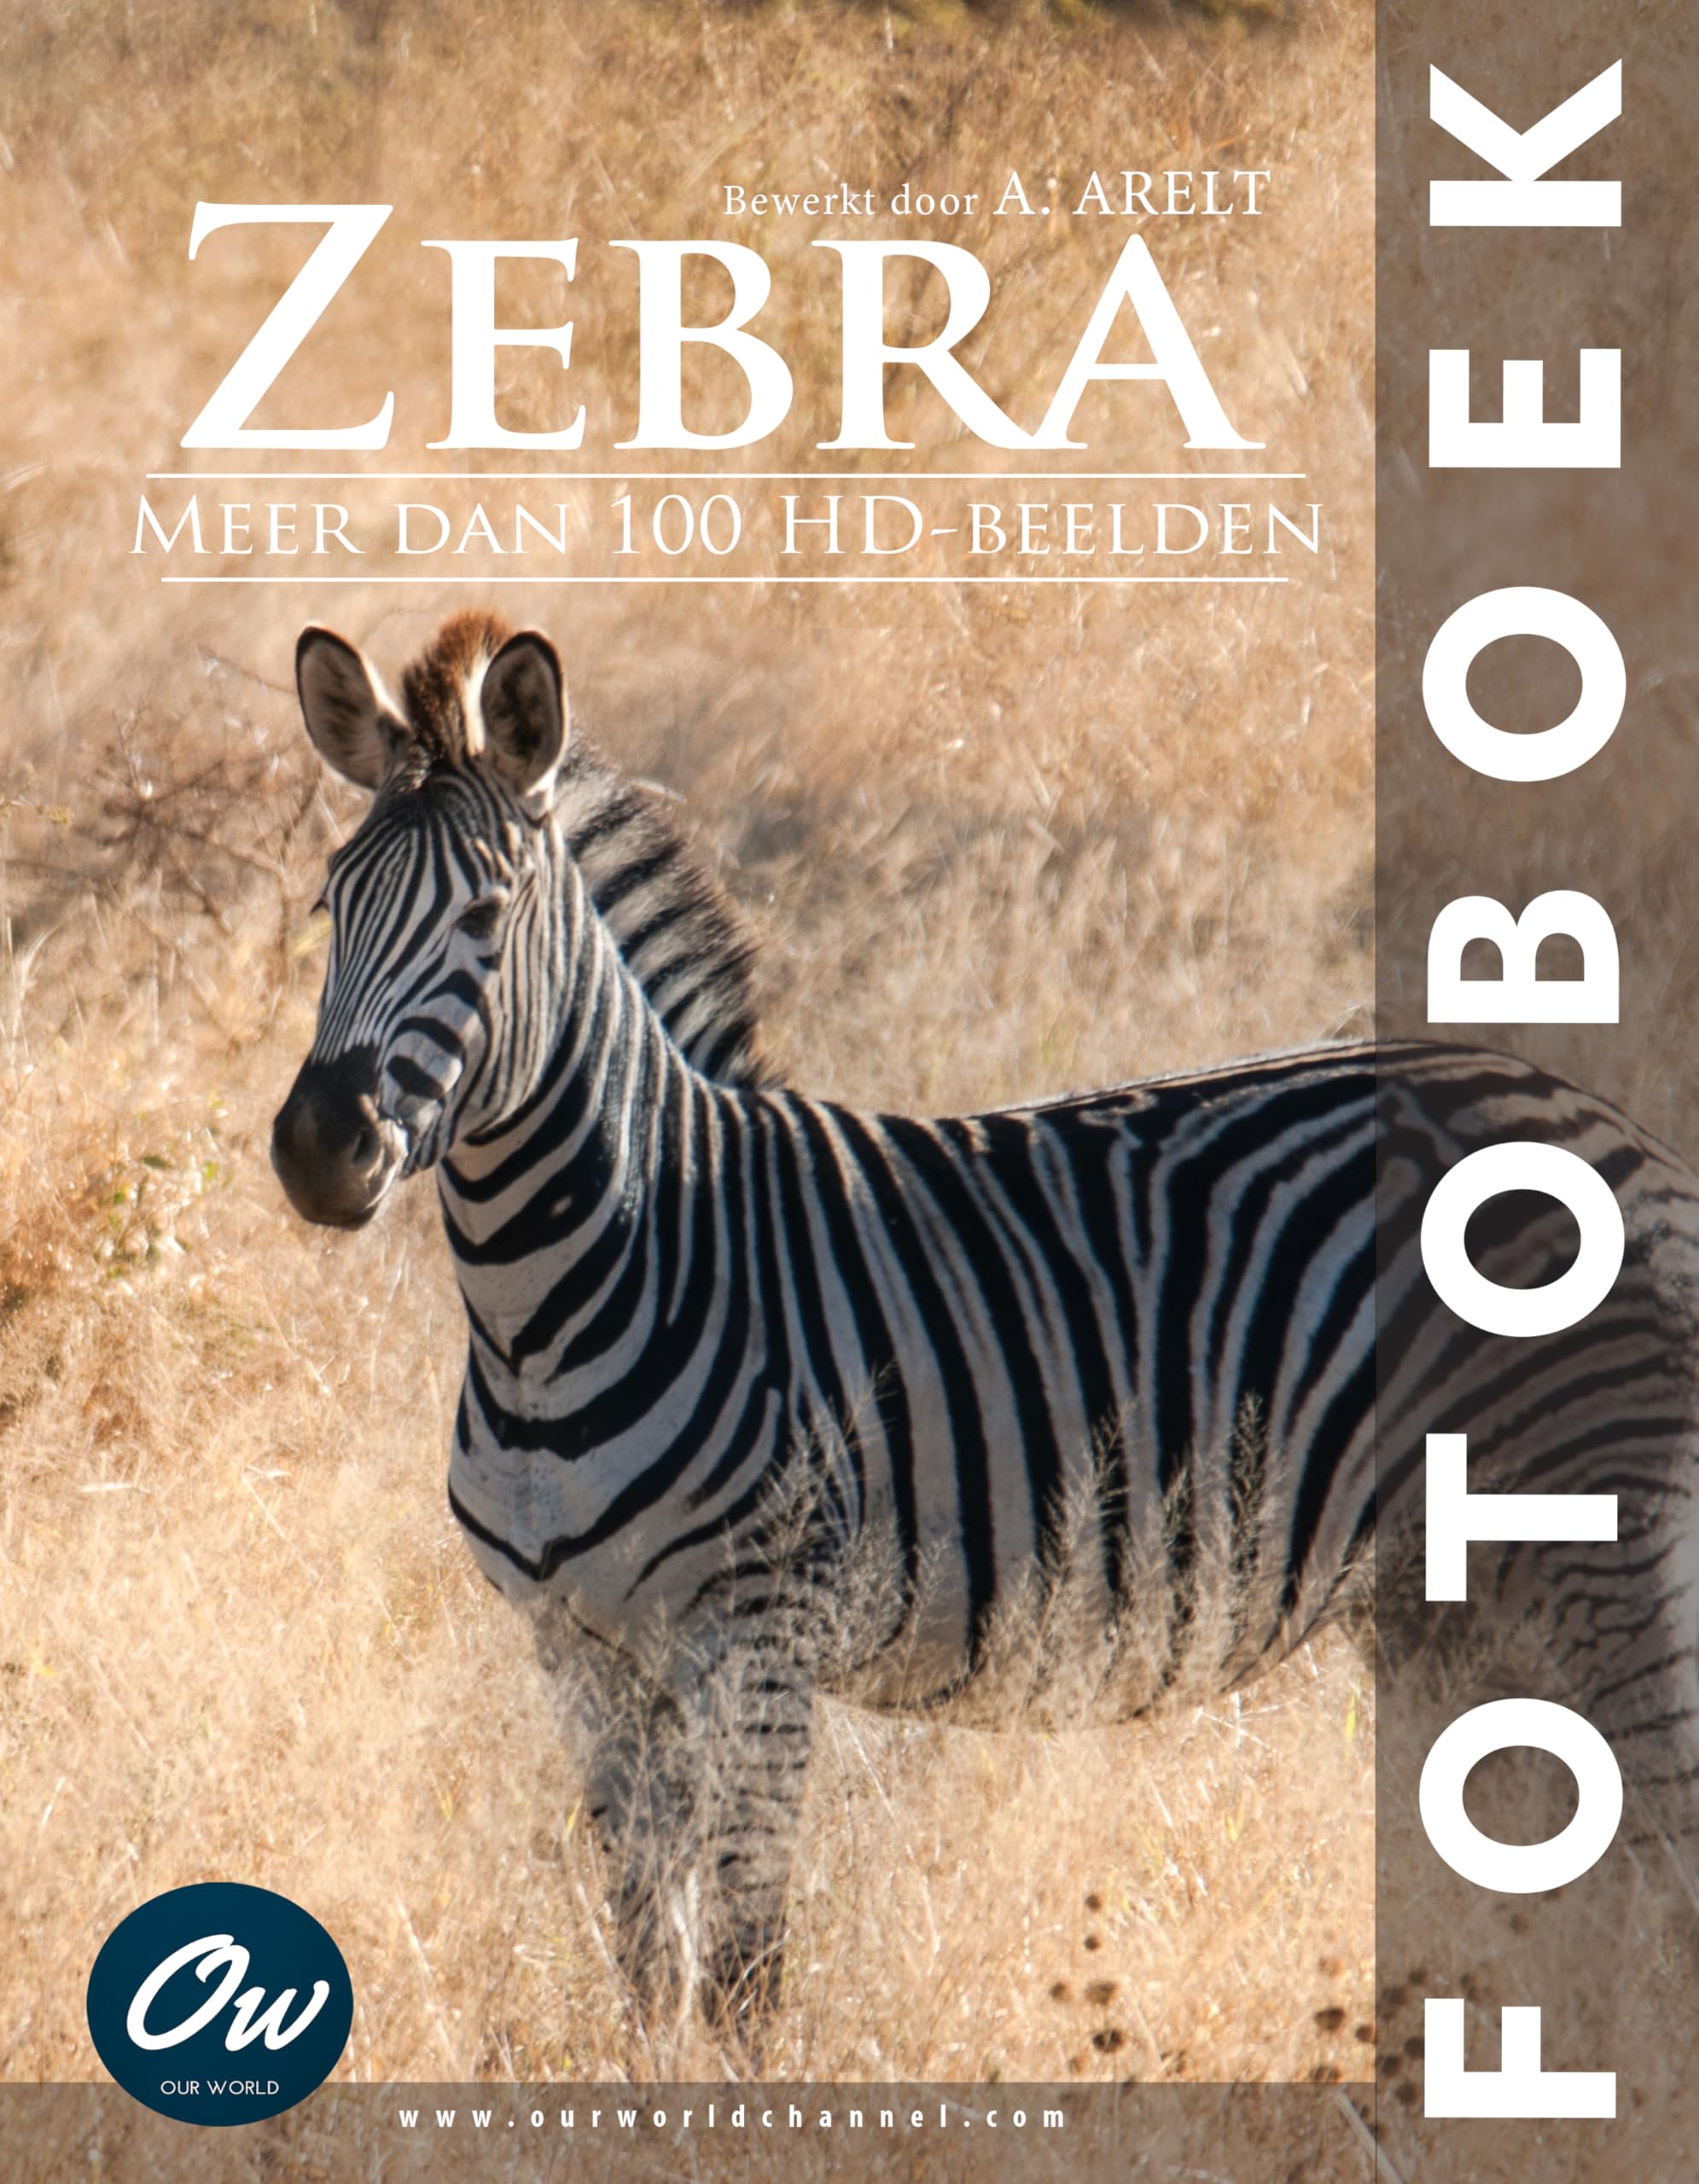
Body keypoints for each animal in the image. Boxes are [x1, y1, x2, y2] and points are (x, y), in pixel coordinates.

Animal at [271, 609, 1699, 2028]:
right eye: (330, 904)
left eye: (483, 916)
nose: (316, 1149)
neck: (566, 1302)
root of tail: (1613, 1129)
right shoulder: (582, 1657)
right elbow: (645, 1968)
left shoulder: (757, 1641)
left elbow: (740, 1976)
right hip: (1441, 1597)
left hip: (1591, 1548)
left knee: (1656, 1851)